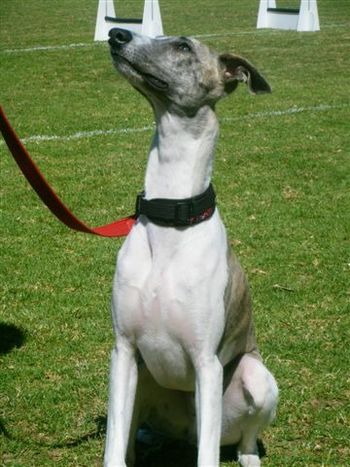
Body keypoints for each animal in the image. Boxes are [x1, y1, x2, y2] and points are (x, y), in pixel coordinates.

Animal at [104, 28, 278, 467]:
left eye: (183, 46)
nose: (116, 33)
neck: (172, 218)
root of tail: (185, 432)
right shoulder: (123, 352)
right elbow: (112, 447)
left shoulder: (207, 363)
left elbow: (208, 457)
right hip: (145, 382)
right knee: (132, 438)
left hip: (256, 378)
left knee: (243, 440)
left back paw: (249, 457)